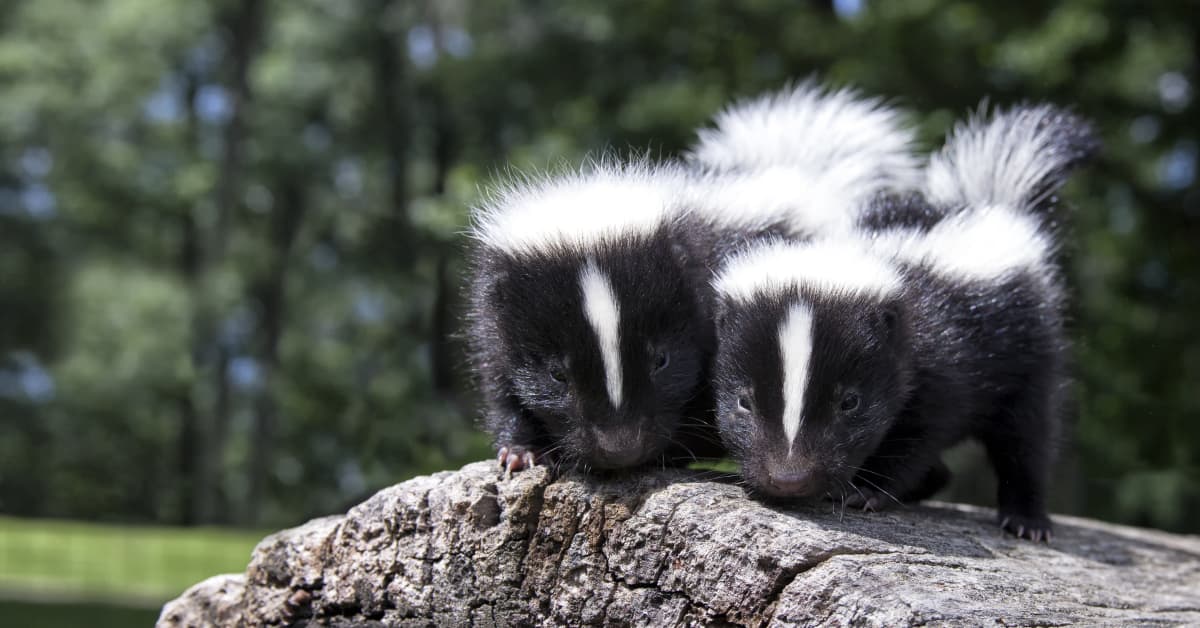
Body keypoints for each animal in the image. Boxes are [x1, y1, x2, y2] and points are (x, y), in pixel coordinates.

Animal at [465, 159, 720, 475]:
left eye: (661, 360)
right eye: (556, 374)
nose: (621, 448)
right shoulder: (492, 325)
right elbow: (500, 387)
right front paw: (520, 452)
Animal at [710, 105, 1099, 542]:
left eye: (850, 402)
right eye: (744, 401)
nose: (789, 478)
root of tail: (993, 204)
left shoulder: (941, 359)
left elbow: (919, 434)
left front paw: (865, 490)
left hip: (1030, 349)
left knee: (1027, 436)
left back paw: (1026, 519)